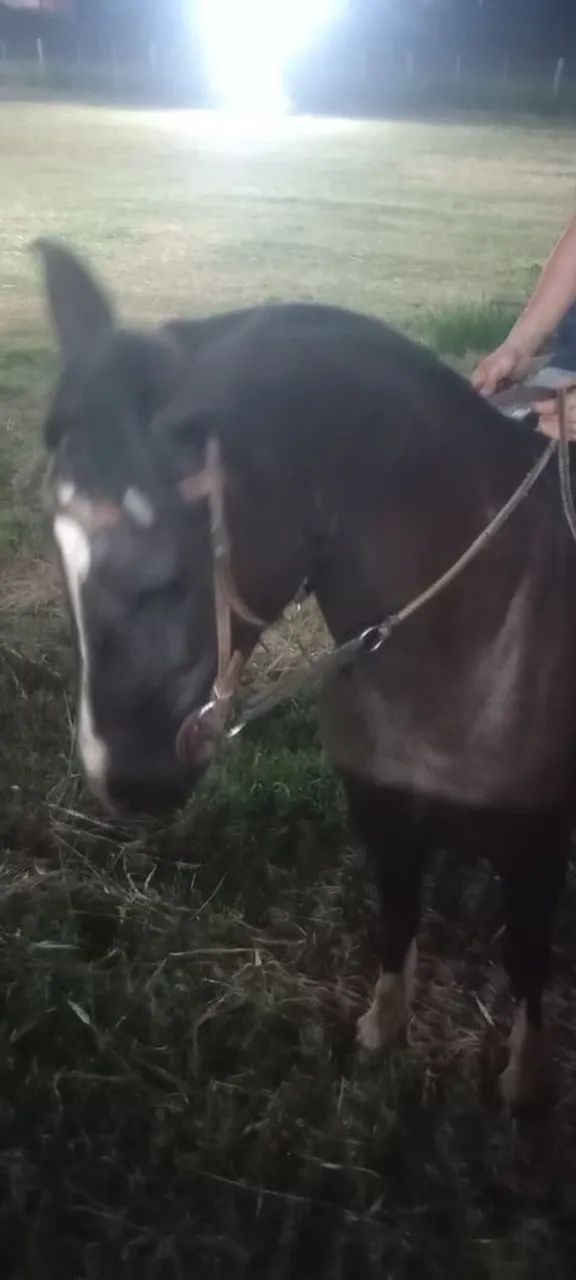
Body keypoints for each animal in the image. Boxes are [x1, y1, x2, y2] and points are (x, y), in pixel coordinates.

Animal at [36, 240, 576, 1111]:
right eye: (57, 550)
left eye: (161, 573)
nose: (122, 782)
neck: (478, 630)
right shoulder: (383, 810)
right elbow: (398, 916)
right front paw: (382, 1032)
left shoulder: (541, 840)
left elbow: (527, 956)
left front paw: (525, 1081)